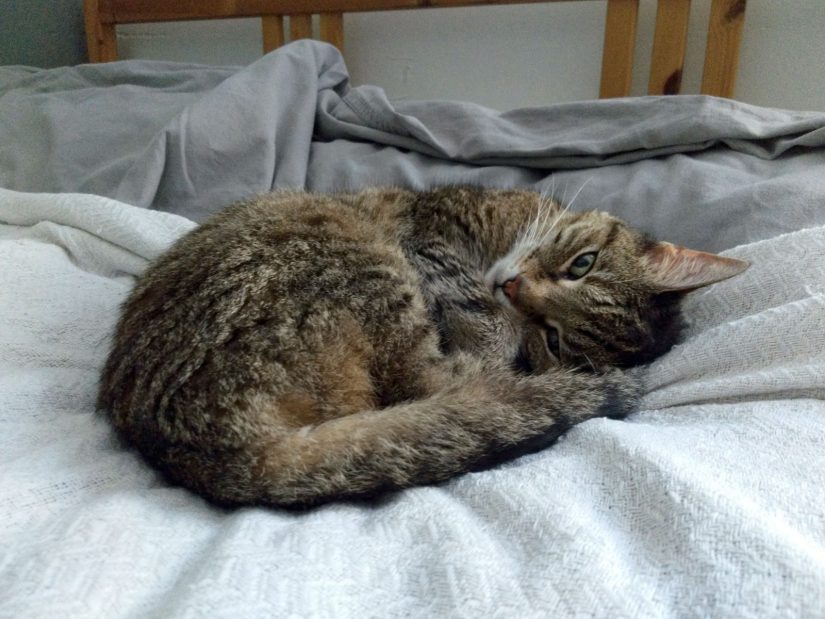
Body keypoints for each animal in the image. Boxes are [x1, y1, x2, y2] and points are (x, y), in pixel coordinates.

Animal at [95, 188, 748, 508]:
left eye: (554, 337)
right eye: (580, 264)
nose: (513, 288)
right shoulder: (435, 243)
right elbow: (477, 315)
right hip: (360, 256)